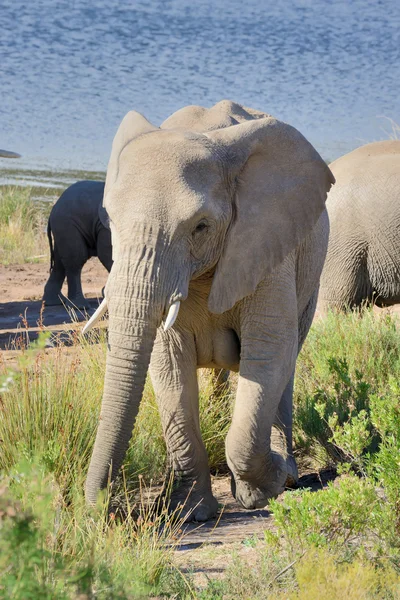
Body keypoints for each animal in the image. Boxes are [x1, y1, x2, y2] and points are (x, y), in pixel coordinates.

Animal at [42, 178, 111, 310]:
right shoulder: (106, 225)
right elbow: (107, 254)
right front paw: (105, 293)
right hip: (67, 223)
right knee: (75, 260)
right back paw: (79, 307)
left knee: (59, 262)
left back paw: (54, 302)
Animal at [83, 98, 334, 520]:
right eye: (109, 221)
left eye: (200, 226)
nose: (102, 510)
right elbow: (169, 361)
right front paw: (190, 511)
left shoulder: (268, 244)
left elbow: (269, 350)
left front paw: (264, 490)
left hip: (310, 273)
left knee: (287, 360)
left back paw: (287, 472)